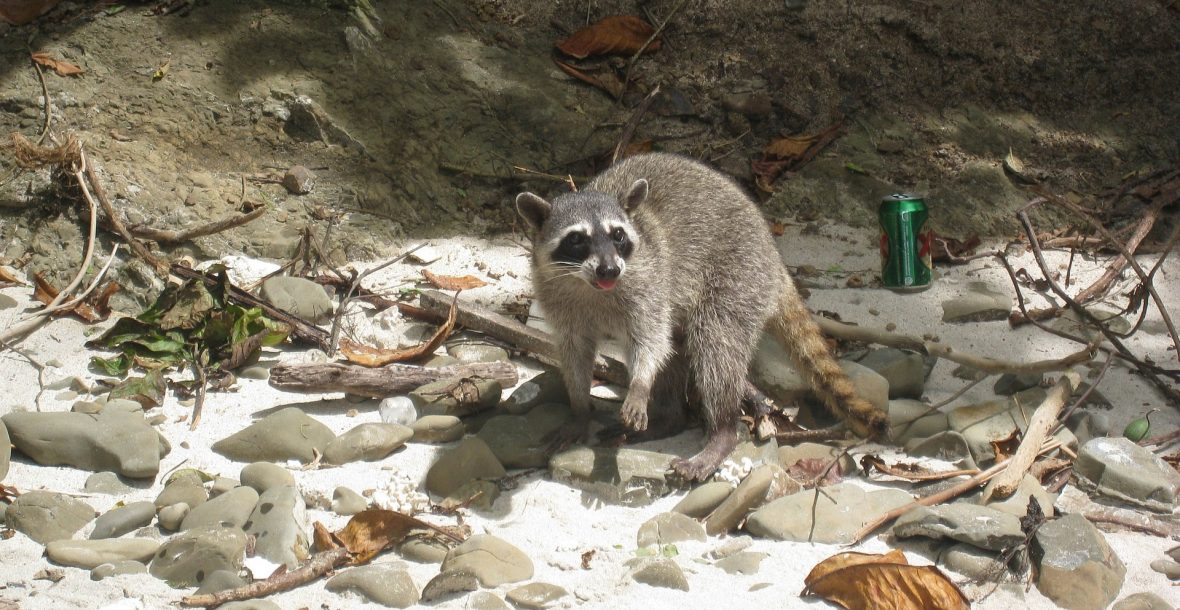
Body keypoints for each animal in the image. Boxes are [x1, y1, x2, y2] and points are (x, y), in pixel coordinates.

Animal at [516, 152, 887, 480]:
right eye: (577, 240)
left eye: (617, 235)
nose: (610, 269)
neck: (591, 285)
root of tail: (773, 255)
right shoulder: (557, 298)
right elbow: (574, 351)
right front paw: (579, 408)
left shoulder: (649, 284)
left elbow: (650, 341)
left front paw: (639, 385)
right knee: (679, 347)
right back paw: (670, 419)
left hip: (739, 275)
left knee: (714, 345)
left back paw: (722, 431)